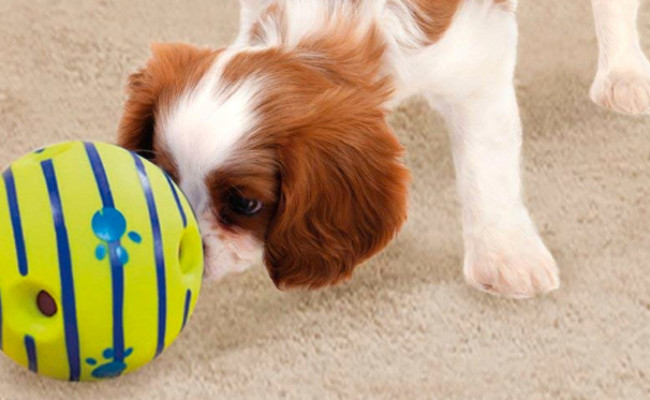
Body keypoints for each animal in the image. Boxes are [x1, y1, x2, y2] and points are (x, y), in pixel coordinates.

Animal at [116, 0, 648, 298]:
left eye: (246, 204)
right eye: (165, 178)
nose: (181, 250)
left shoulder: (477, 59)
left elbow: (486, 166)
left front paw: (505, 256)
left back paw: (623, 73)